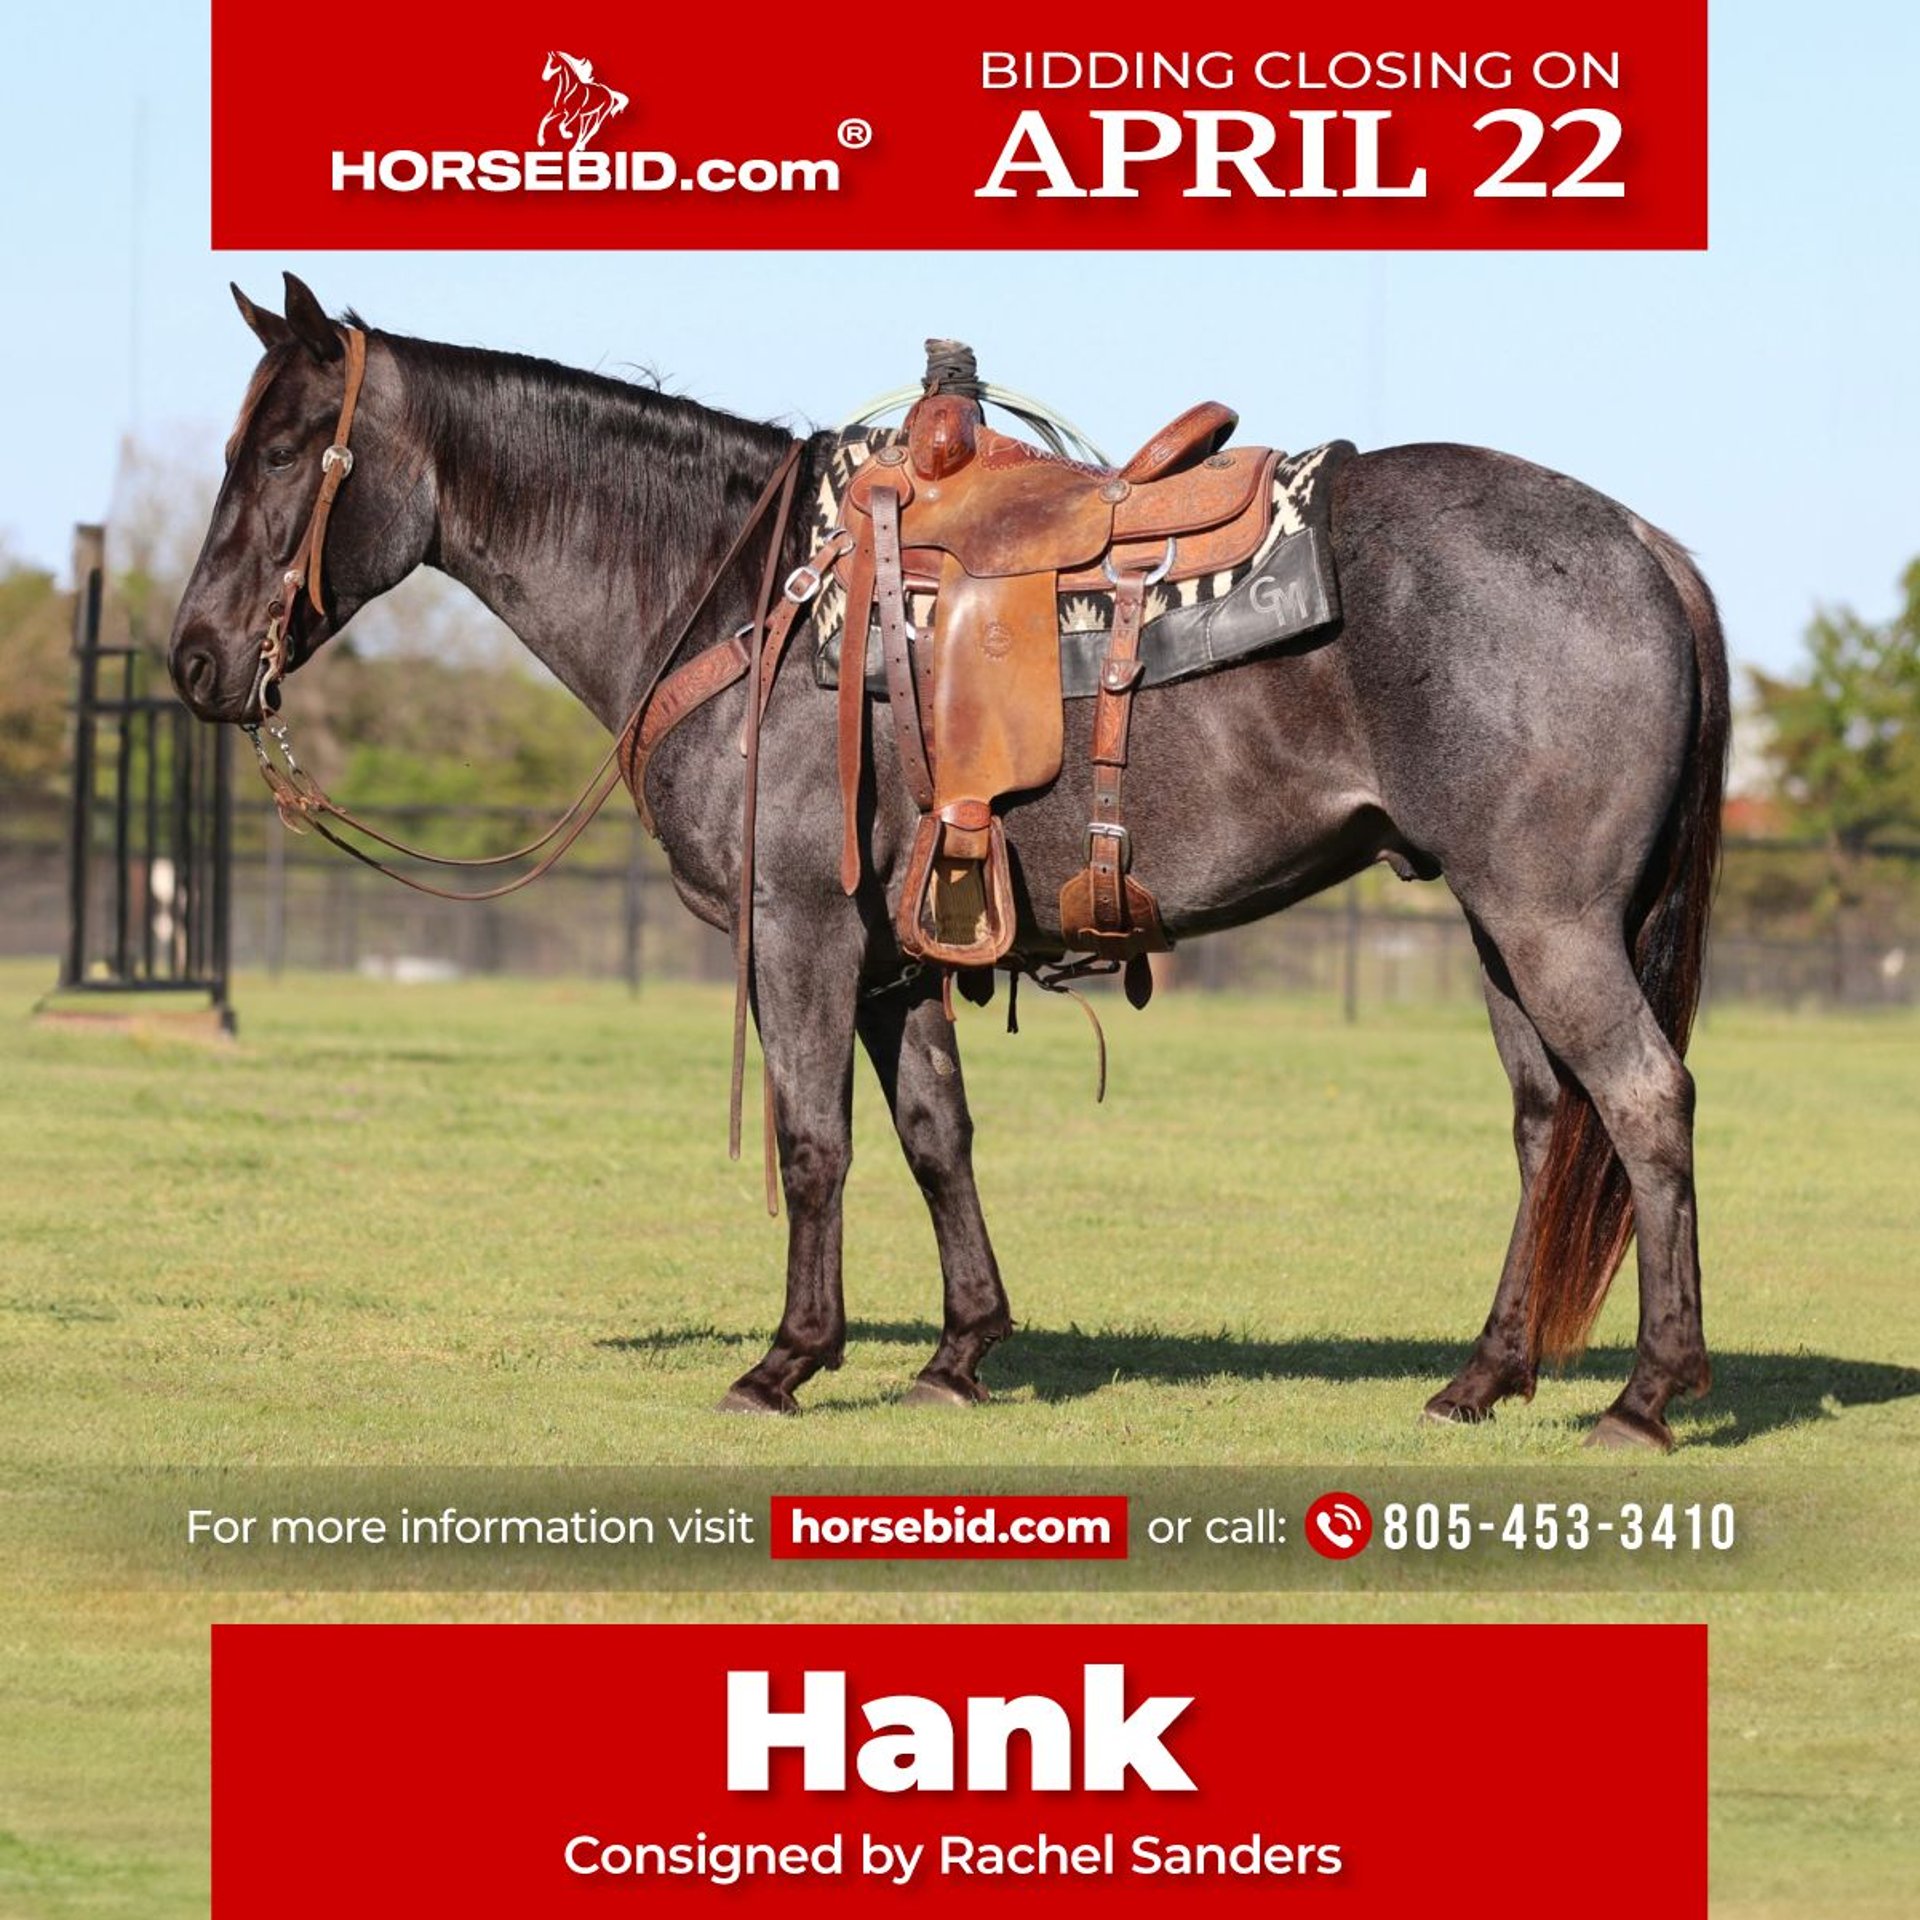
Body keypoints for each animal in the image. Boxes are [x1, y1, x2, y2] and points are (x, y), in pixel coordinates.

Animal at [170, 273, 1729, 1452]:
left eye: (282, 453)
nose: (192, 660)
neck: (745, 601)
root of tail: (1640, 542)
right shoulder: (899, 953)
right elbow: (935, 1134)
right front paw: (959, 1351)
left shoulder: (799, 931)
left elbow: (814, 1141)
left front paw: (787, 1359)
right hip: (1496, 925)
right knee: (1547, 1119)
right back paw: (1486, 1375)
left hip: (1548, 920)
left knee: (1644, 1101)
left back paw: (1646, 1397)